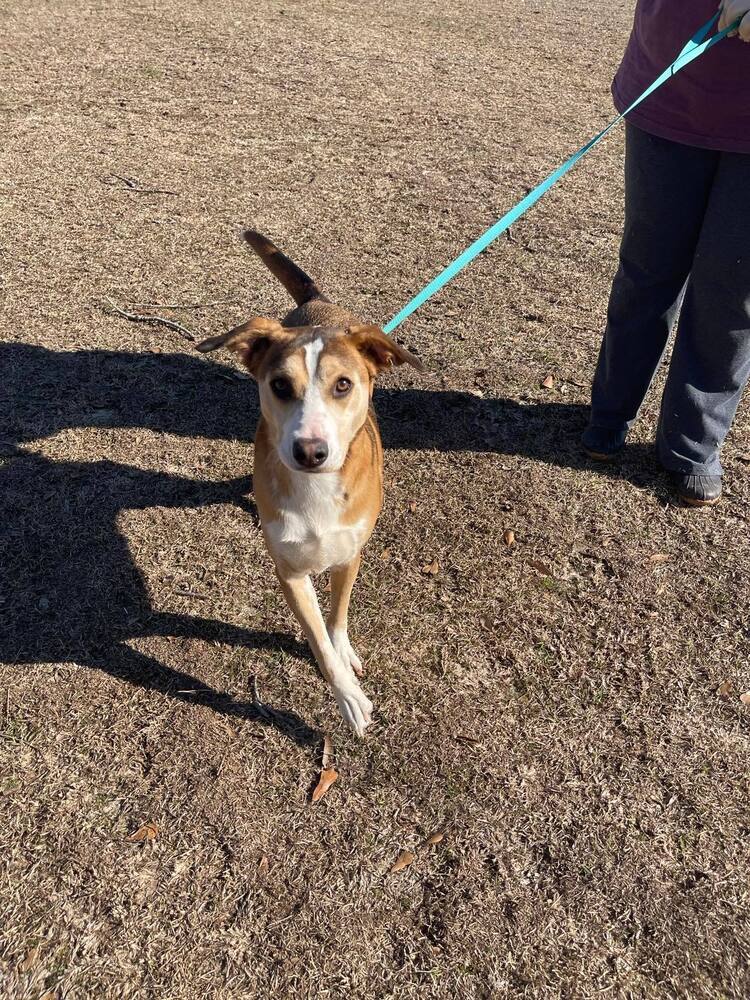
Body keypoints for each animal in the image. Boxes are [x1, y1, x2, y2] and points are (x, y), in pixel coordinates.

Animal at [197, 234, 426, 736]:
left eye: (343, 385)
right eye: (281, 385)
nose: (309, 451)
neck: (315, 488)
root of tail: (318, 303)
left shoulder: (350, 553)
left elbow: (337, 619)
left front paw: (344, 653)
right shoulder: (290, 572)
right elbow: (318, 638)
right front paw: (348, 697)